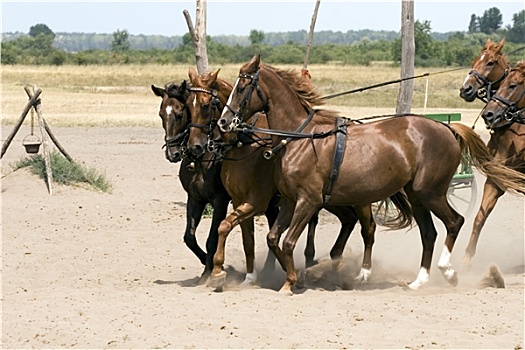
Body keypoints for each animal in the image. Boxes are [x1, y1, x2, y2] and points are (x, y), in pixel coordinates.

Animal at [150, 82, 230, 284]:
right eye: (161, 114)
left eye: (180, 114)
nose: (172, 154)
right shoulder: (195, 199)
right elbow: (189, 237)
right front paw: (205, 265)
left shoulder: (220, 201)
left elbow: (212, 238)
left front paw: (210, 271)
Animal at [216, 55, 524, 296]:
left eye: (242, 87)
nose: (223, 122)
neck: (300, 138)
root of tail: (447, 128)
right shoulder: (291, 201)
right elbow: (273, 238)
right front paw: (295, 278)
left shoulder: (308, 201)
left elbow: (289, 241)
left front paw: (292, 282)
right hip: (415, 195)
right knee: (429, 233)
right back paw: (419, 281)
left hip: (431, 192)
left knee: (455, 222)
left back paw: (448, 272)